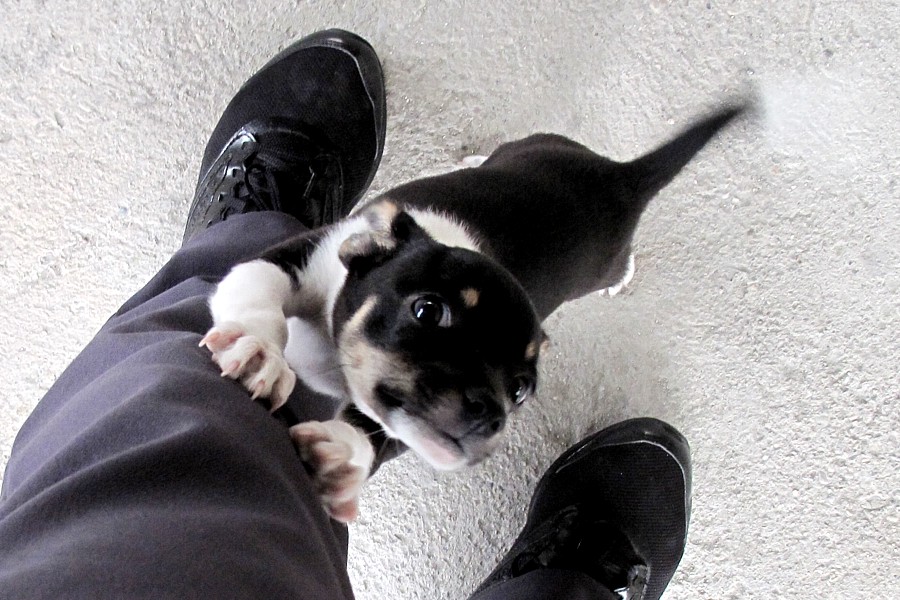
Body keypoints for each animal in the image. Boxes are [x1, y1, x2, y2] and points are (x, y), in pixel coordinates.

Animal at [201, 101, 746, 522]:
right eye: (428, 311)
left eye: (521, 390)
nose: (492, 414)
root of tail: (620, 179)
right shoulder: (295, 258)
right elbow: (258, 292)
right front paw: (261, 351)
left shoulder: (395, 427)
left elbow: (374, 433)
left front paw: (343, 456)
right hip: (536, 147)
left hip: (600, 261)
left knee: (620, 263)